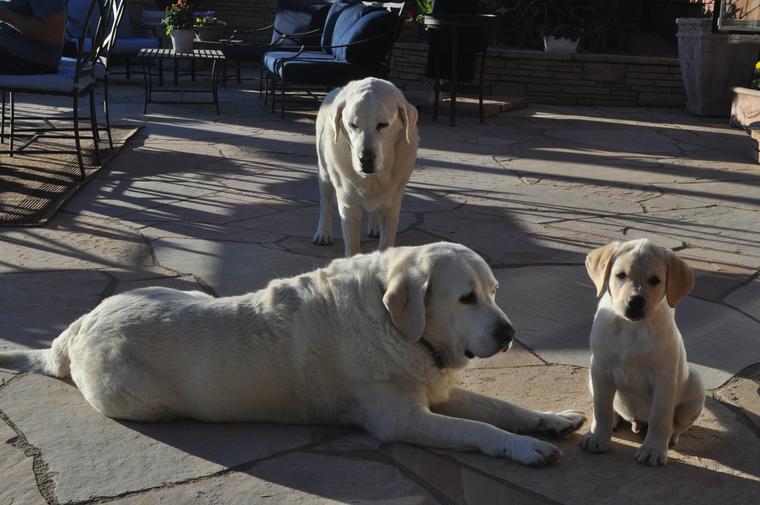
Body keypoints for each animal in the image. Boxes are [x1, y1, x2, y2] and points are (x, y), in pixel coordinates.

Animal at [0, 242, 584, 466]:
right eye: (466, 298)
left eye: (494, 291)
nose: (508, 332)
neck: (395, 323)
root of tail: (75, 328)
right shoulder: (401, 419)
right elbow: (478, 428)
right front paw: (524, 448)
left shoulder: (434, 390)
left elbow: (500, 408)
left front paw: (550, 420)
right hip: (141, 399)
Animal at [312, 77, 418, 256]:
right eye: (352, 125)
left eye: (383, 124)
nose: (365, 159)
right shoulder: (348, 206)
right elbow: (352, 245)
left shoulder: (393, 205)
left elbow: (387, 240)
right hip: (324, 173)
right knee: (325, 202)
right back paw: (323, 233)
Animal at [580, 238, 708, 466]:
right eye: (621, 275)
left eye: (655, 280)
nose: (635, 301)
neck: (632, 327)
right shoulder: (600, 369)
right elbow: (601, 408)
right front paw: (598, 436)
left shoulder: (664, 379)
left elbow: (660, 418)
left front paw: (653, 449)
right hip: (591, 377)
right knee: (608, 408)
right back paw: (613, 421)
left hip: (695, 384)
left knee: (677, 424)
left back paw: (671, 436)